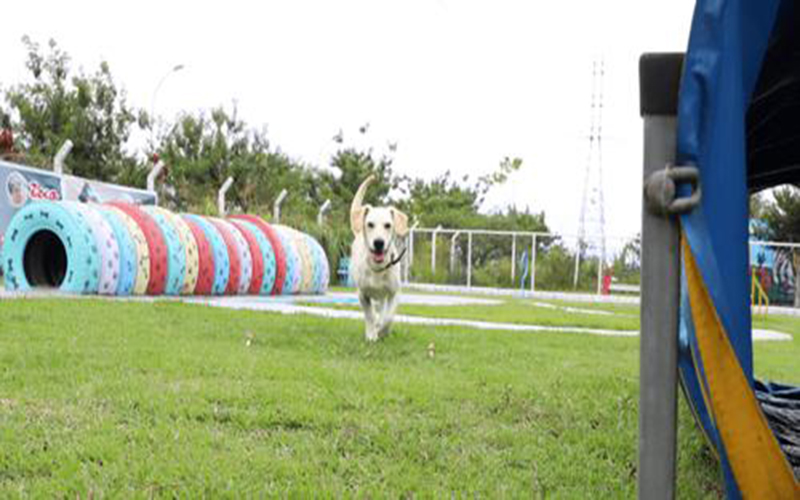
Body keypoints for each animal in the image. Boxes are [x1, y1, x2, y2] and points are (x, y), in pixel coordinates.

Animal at [350, 174, 410, 342]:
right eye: (370, 224)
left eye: (388, 225)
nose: (378, 243)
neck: (377, 268)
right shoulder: (362, 294)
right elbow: (369, 315)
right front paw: (371, 335)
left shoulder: (394, 293)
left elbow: (388, 317)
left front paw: (382, 331)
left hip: (383, 296)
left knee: (382, 310)